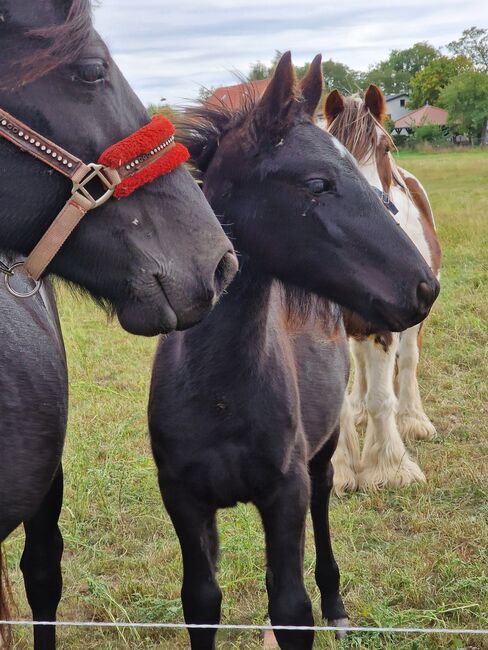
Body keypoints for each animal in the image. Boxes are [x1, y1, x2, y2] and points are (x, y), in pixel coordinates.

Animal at [324, 86, 442, 492]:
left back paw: (413, 419)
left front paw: (389, 467)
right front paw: (341, 469)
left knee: (407, 363)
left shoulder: (387, 325)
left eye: (386, 148)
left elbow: (382, 397)